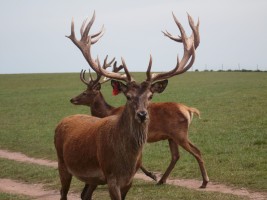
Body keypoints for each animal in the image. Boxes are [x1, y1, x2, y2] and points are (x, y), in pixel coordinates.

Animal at [69, 12, 209, 188]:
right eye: (128, 96)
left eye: (85, 93)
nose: (72, 99)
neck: (107, 112)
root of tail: (189, 110)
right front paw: (153, 176)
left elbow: (138, 162)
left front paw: (151, 175)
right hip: (171, 137)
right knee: (176, 156)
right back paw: (162, 180)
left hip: (180, 134)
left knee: (196, 151)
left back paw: (204, 181)